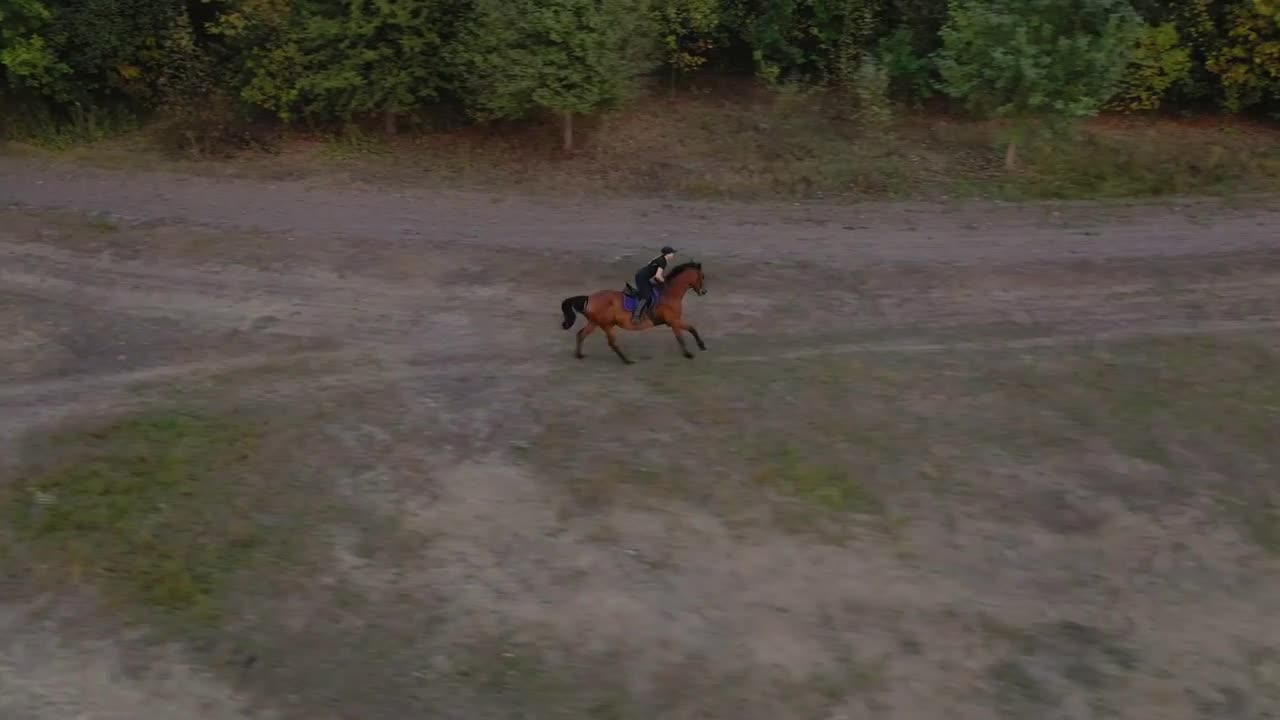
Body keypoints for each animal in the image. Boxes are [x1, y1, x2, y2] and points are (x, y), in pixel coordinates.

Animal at [558, 262, 706, 363]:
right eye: (702, 277)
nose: (704, 291)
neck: (670, 293)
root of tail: (590, 298)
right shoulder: (673, 321)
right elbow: (682, 336)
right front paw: (689, 353)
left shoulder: (673, 321)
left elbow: (691, 329)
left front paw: (701, 346)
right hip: (606, 325)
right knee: (611, 343)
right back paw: (627, 361)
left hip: (594, 323)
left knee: (581, 334)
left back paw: (579, 355)